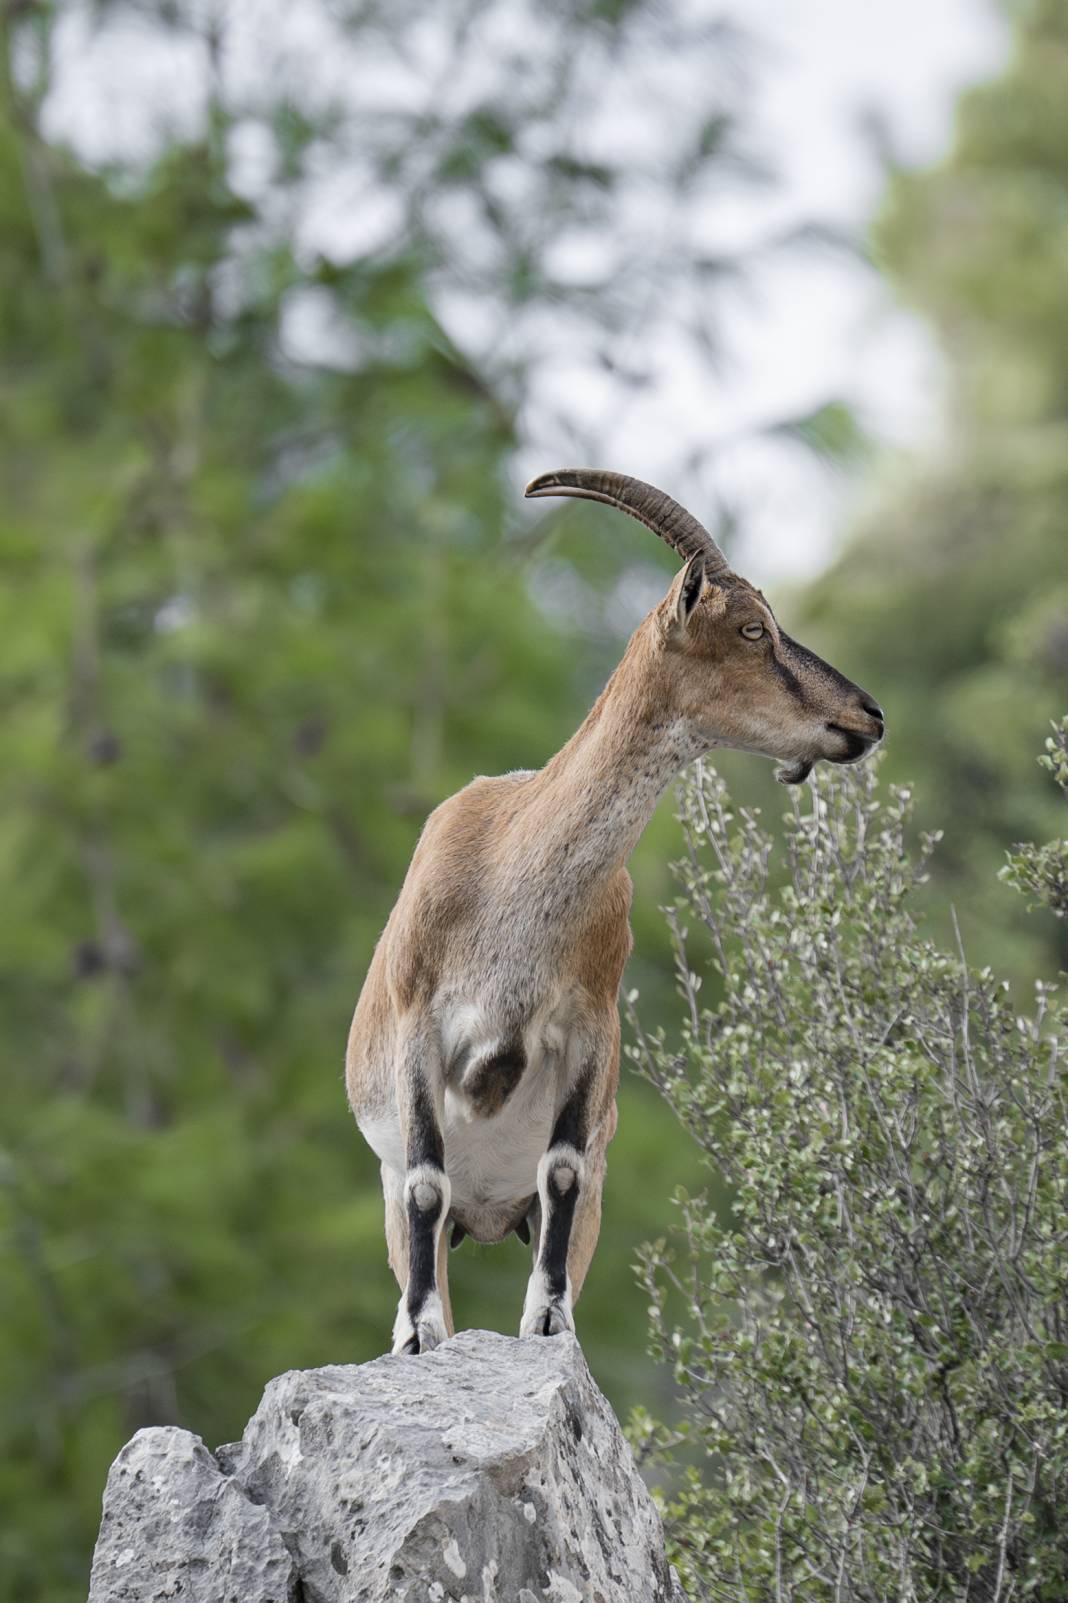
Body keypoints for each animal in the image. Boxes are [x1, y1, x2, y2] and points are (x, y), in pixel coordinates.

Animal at [343, 471, 878, 1352]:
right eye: (752, 627)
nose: (865, 717)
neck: (508, 882)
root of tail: (488, 1222)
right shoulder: (419, 1022)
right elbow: (425, 1182)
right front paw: (418, 1334)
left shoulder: (588, 1027)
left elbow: (560, 1170)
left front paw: (548, 1321)